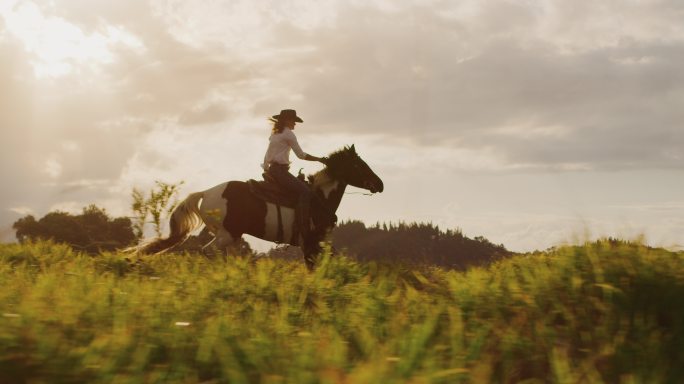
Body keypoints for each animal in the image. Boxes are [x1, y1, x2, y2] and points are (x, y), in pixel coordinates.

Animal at [135, 146, 384, 268]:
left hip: (230, 236)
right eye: (359, 164)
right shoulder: (311, 243)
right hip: (227, 234)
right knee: (208, 251)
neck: (318, 198)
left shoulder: (317, 244)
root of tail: (206, 192)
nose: (379, 184)